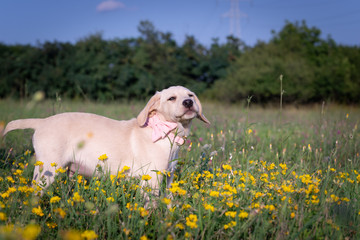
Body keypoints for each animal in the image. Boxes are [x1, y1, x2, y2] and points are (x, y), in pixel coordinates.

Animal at [2, 86, 210, 195]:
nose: (189, 103)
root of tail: (41, 121)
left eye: (190, 95)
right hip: (47, 170)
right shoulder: (152, 180)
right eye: (171, 98)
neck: (166, 132)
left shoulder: (169, 177)